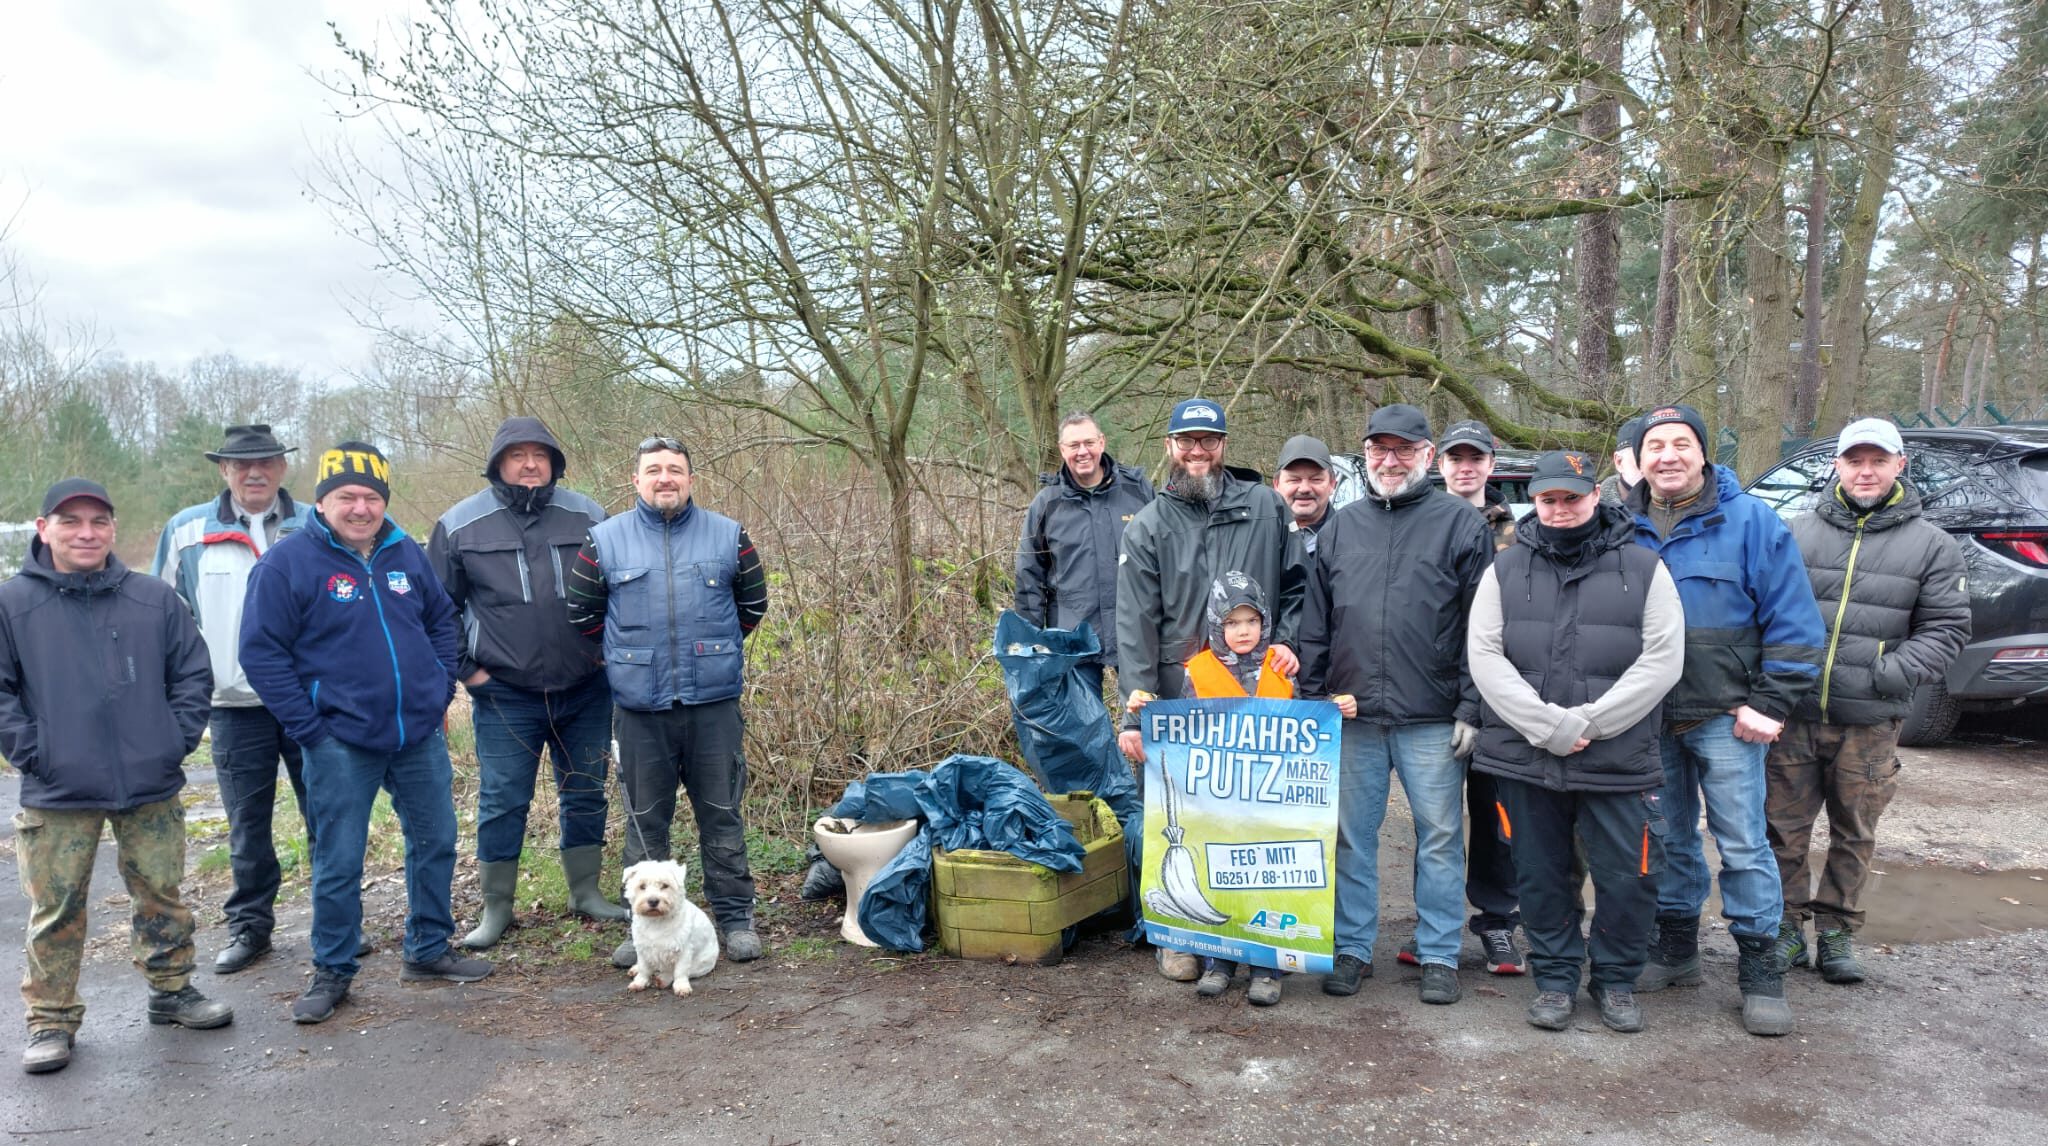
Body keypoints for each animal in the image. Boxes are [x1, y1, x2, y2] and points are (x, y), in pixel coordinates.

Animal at [622, 859, 720, 994]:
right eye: (642, 886)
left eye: (665, 885)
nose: (653, 901)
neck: (656, 921)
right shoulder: (643, 948)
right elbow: (644, 968)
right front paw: (639, 982)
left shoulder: (683, 950)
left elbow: (680, 971)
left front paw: (682, 987)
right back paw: (636, 969)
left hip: (702, 963)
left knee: (678, 971)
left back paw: (662, 979)